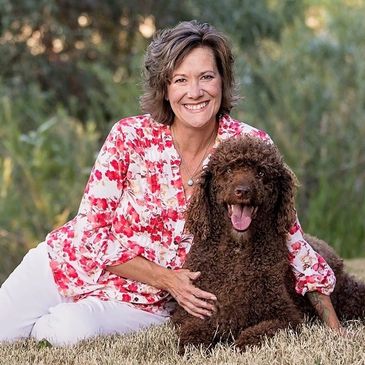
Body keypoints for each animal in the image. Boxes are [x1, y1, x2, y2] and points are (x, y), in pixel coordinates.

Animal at [171, 135, 364, 352]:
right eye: (227, 170)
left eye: (261, 172)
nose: (242, 191)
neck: (237, 250)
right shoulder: (190, 313)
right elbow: (192, 332)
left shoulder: (286, 317)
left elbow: (257, 333)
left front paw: (240, 344)